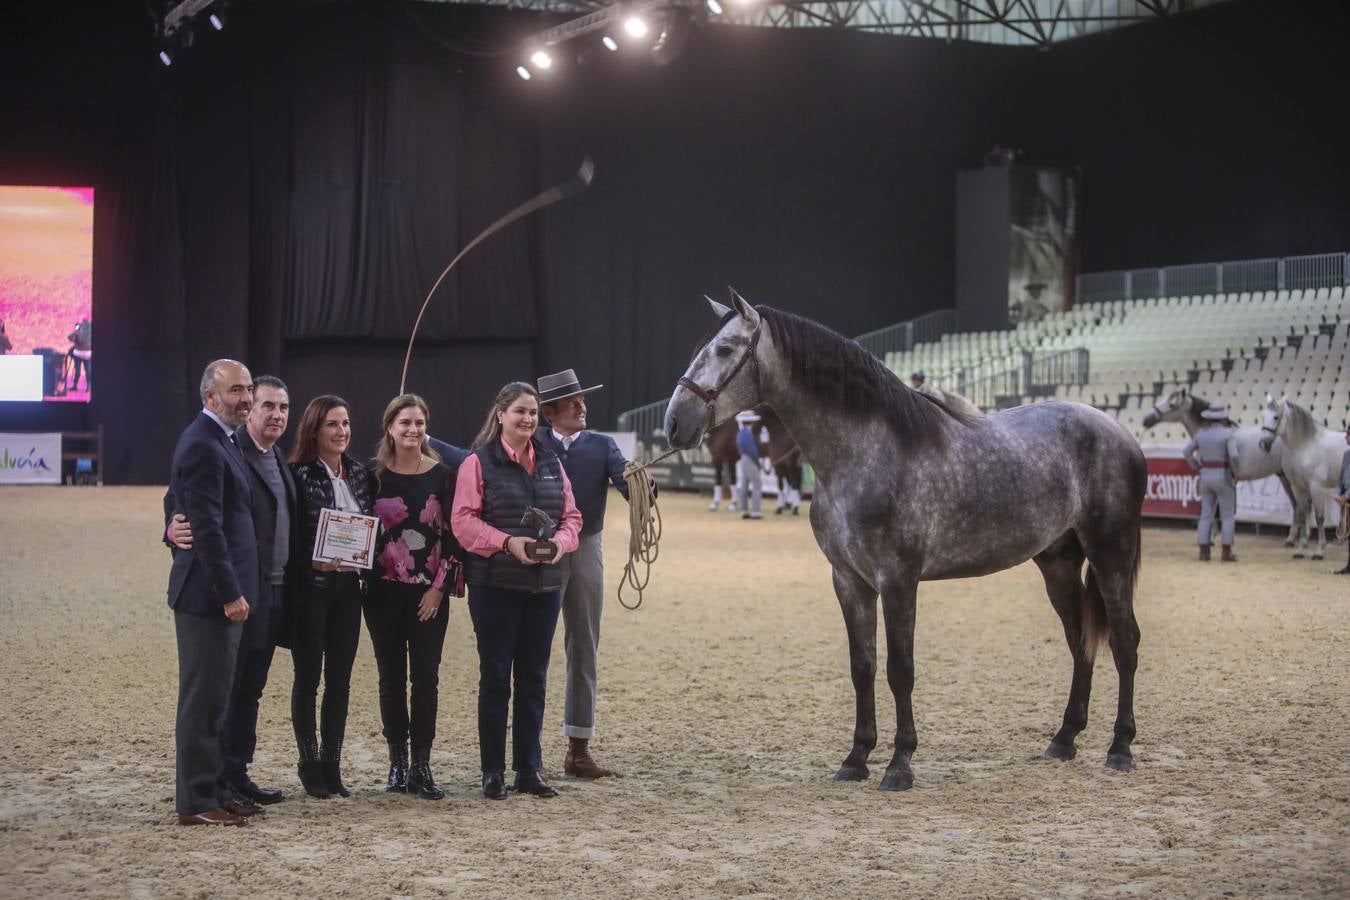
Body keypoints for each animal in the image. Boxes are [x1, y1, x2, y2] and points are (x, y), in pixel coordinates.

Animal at [658, 292, 1144, 793]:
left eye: (725, 349)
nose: (674, 423)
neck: (868, 453)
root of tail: (1118, 431)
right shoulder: (849, 581)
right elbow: (863, 667)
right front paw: (856, 758)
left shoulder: (898, 580)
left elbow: (900, 670)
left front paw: (899, 764)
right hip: (1057, 563)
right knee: (1079, 640)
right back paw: (1064, 739)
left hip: (1110, 554)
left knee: (1125, 640)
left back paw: (1120, 747)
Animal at [1258, 396, 1344, 558]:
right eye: (1263, 416)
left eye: (1276, 417)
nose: (1263, 444)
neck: (1306, 447)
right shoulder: (1298, 487)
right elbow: (1302, 515)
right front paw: (1300, 549)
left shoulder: (1316, 487)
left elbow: (1319, 517)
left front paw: (1319, 551)